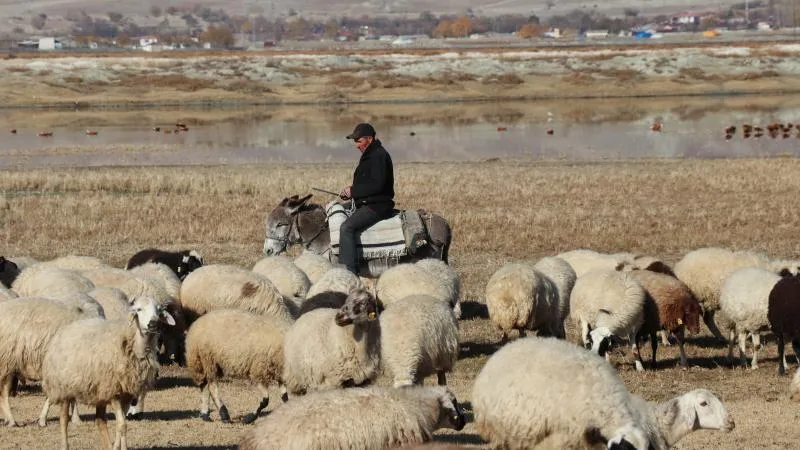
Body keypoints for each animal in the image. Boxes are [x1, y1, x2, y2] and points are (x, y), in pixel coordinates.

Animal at [0, 298, 100, 428]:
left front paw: (75, 418)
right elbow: (51, 398)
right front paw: (43, 420)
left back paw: (9, 420)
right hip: (6, 363)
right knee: (3, 394)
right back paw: (11, 421)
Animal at [41, 296, 176, 450]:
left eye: (158, 310)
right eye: (139, 309)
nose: (153, 324)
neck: (134, 345)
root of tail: (66, 330)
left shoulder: (126, 394)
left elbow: (121, 425)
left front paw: (120, 447)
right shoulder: (114, 392)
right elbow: (122, 425)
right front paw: (118, 447)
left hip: (99, 391)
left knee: (100, 420)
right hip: (64, 387)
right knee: (63, 419)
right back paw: (65, 445)